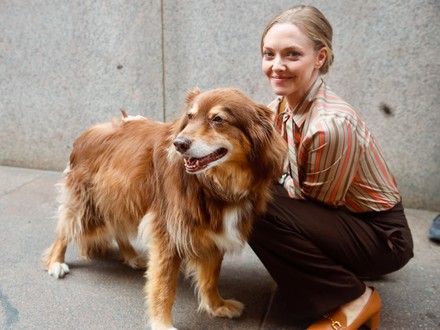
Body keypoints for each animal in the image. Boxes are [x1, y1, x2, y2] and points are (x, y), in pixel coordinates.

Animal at [43, 87, 288, 330]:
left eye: (218, 119)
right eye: (190, 116)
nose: (179, 144)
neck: (214, 186)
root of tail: (88, 132)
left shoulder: (215, 232)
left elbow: (210, 277)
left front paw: (217, 306)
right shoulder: (169, 235)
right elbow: (164, 287)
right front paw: (162, 324)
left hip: (120, 199)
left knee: (117, 227)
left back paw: (131, 256)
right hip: (86, 204)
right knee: (64, 230)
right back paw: (56, 262)